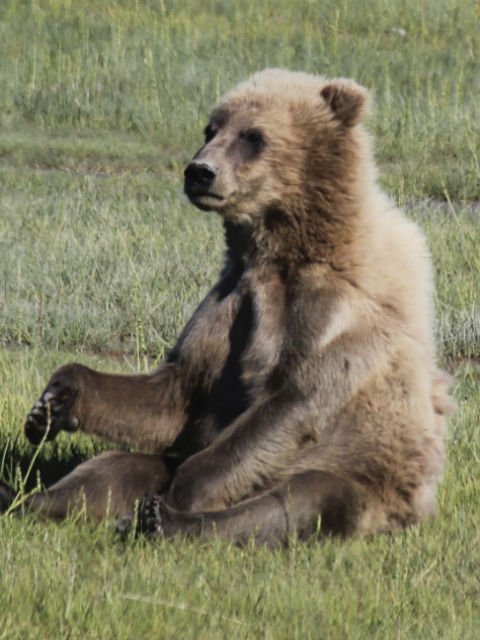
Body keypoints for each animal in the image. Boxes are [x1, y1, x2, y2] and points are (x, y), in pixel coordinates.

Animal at [5, 67, 452, 544]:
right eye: (210, 128)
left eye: (253, 135)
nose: (199, 171)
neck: (280, 251)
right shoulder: (231, 297)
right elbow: (178, 389)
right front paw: (52, 403)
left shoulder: (332, 313)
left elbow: (292, 399)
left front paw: (182, 493)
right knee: (115, 466)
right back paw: (27, 499)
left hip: (363, 477)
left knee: (299, 498)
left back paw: (163, 519)